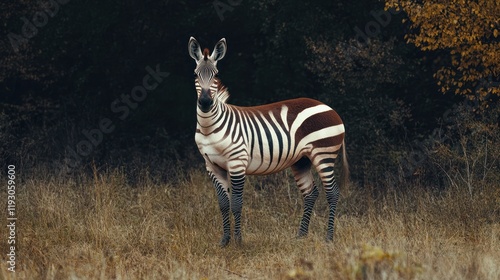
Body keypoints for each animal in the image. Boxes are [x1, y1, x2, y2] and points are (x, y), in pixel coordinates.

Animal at [188, 37, 348, 247]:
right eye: (195, 74)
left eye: (216, 75)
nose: (205, 102)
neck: (209, 128)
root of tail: (330, 108)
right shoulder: (212, 166)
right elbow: (223, 204)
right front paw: (224, 241)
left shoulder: (237, 162)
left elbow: (236, 203)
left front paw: (238, 242)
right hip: (301, 160)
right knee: (310, 193)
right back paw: (301, 235)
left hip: (324, 153)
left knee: (332, 193)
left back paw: (328, 238)